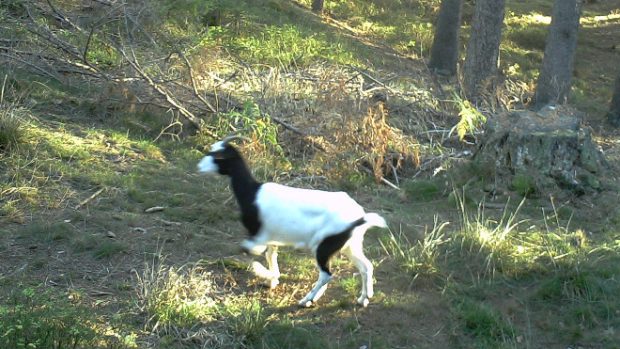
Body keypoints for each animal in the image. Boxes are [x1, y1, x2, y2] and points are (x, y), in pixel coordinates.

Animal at [196, 136, 388, 304]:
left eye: (216, 155)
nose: (199, 166)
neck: (252, 192)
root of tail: (360, 216)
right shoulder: (271, 238)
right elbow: (270, 255)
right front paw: (273, 280)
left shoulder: (257, 237)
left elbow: (249, 254)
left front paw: (268, 275)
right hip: (350, 244)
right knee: (365, 266)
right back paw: (364, 298)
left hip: (324, 246)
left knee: (326, 274)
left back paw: (307, 300)